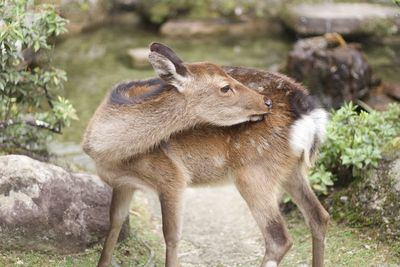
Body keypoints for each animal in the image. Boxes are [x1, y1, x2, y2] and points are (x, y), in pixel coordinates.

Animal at [92, 63, 330, 267]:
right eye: (225, 87)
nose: (266, 102)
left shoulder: (172, 176)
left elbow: (171, 235)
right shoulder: (123, 183)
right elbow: (115, 221)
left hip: (253, 170)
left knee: (278, 238)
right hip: (290, 169)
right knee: (319, 216)